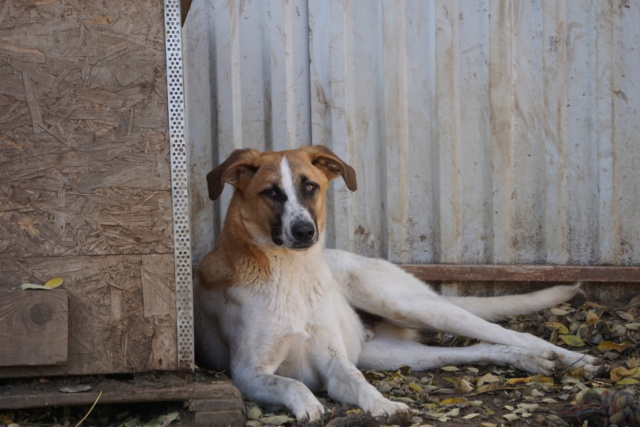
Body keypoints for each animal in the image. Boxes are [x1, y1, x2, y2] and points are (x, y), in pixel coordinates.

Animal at [192, 147, 604, 424]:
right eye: (272, 192)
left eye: (310, 187)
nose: (305, 231)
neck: (293, 274)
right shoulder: (247, 372)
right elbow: (291, 384)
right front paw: (310, 404)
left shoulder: (335, 360)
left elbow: (359, 382)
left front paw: (385, 405)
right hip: (390, 353)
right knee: (483, 348)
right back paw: (535, 361)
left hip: (407, 304)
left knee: (511, 333)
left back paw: (573, 359)